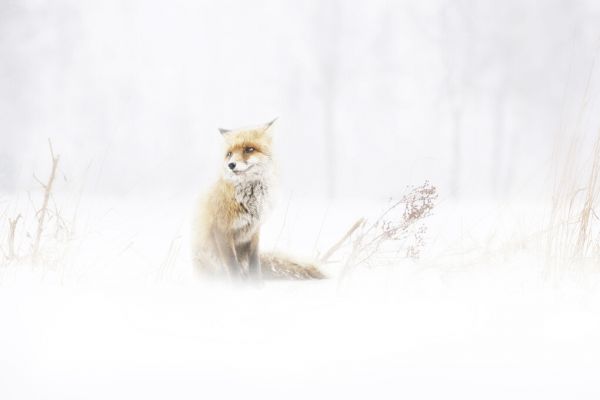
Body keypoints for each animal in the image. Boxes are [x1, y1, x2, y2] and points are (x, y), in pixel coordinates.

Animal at [191, 119, 324, 282]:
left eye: (249, 149)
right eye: (229, 154)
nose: (231, 165)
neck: (250, 202)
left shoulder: (255, 231)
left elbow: (255, 263)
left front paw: (257, 284)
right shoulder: (222, 231)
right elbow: (232, 267)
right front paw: (238, 285)